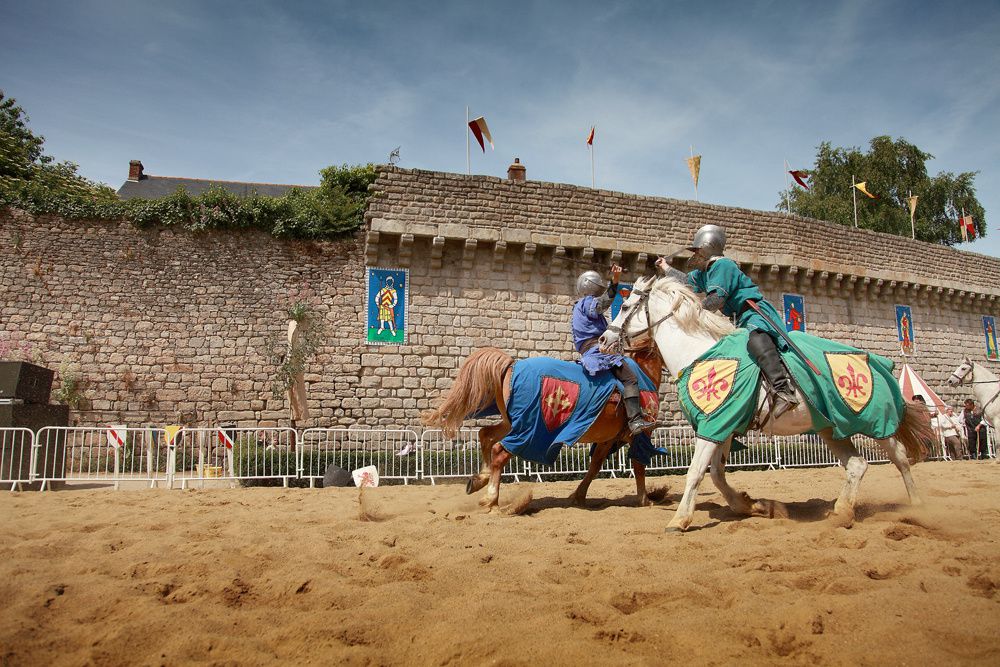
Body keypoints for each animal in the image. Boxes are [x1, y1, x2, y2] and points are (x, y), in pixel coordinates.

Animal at [422, 344, 664, 512]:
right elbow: (638, 465)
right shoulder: (642, 434)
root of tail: (511, 365)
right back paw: (491, 499)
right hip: (526, 429)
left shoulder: (606, 439)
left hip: (513, 423)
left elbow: (594, 467)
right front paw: (644, 500)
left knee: (486, 436)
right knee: (499, 451)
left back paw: (480, 480)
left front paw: (579, 496)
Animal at [596, 276, 932, 532]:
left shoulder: (714, 424)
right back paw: (841, 512)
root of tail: (877, 362)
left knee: (900, 458)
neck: (699, 353)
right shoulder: (722, 427)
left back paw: (917, 507)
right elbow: (716, 475)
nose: (602, 340)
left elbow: (695, 472)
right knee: (857, 465)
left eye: (624, 306)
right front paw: (751, 505)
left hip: (875, 420)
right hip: (830, 428)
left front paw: (680, 520)